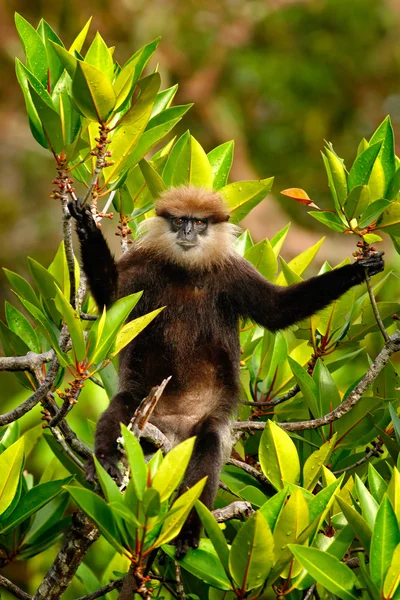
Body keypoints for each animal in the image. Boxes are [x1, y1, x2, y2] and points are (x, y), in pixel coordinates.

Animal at [69, 186, 384, 556]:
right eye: (179, 220)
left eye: (199, 223)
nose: (187, 233)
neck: (188, 272)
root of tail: (172, 435)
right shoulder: (143, 265)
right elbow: (113, 297)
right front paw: (86, 227)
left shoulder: (234, 274)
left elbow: (278, 311)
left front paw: (358, 270)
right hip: (145, 413)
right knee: (123, 406)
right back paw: (103, 463)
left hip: (201, 425)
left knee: (208, 445)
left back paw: (190, 528)